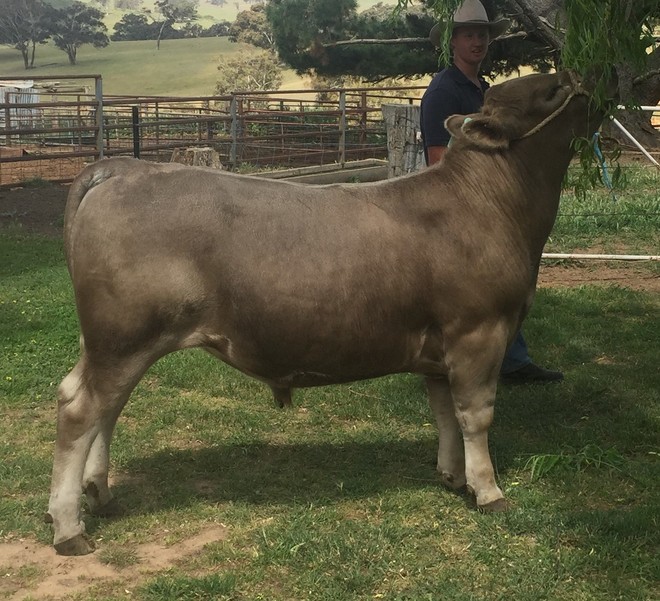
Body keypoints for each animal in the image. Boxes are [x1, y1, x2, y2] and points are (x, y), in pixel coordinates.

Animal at [46, 70, 612, 555]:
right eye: (552, 90)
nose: (593, 83)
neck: (485, 204)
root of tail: (120, 167)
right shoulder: (479, 330)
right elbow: (476, 414)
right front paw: (488, 490)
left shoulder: (439, 347)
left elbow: (443, 411)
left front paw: (452, 476)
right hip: (125, 336)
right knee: (81, 410)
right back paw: (69, 528)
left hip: (110, 341)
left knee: (101, 405)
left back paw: (100, 492)